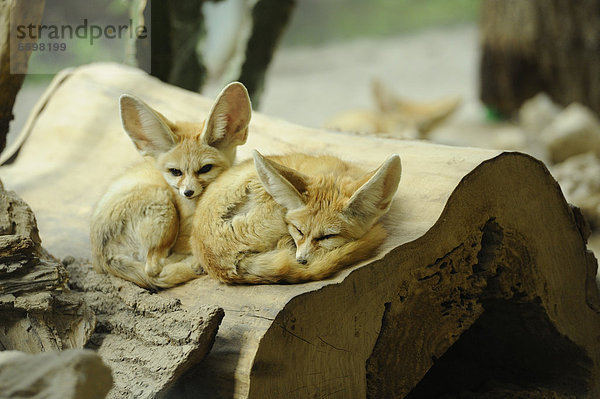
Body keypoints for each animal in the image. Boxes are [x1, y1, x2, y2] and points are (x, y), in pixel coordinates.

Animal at [89, 82, 251, 290]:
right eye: (175, 171)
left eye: (205, 168)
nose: (188, 192)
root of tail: (101, 257)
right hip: (164, 206)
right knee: (153, 268)